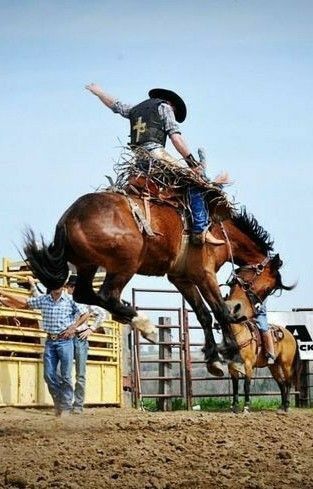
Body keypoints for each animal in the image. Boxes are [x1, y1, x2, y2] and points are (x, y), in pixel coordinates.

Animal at [23, 186, 292, 374]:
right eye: (266, 287)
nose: (242, 310)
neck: (217, 229)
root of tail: (68, 219)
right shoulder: (204, 273)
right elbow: (219, 311)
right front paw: (233, 356)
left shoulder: (182, 278)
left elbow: (204, 314)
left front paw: (214, 358)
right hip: (126, 263)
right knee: (107, 294)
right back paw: (145, 325)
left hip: (88, 265)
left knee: (85, 293)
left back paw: (135, 320)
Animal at [223, 260, 296, 412]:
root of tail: (290, 335)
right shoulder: (232, 366)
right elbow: (235, 386)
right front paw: (234, 406)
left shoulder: (248, 365)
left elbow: (246, 385)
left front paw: (246, 407)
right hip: (274, 366)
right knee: (281, 383)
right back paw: (281, 406)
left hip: (286, 364)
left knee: (287, 382)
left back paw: (286, 406)